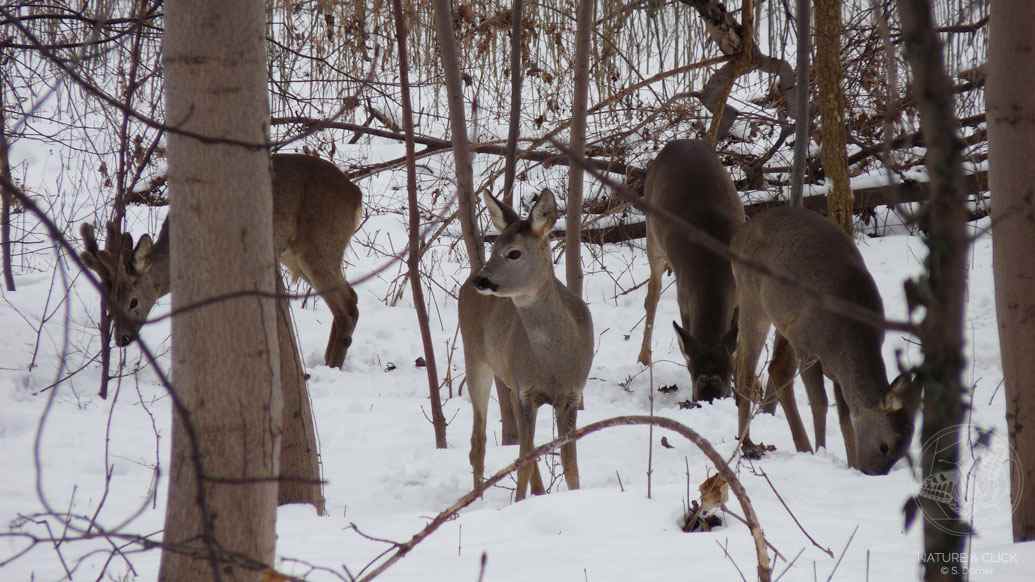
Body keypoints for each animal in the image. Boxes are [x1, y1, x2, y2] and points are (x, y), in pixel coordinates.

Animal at [80, 150, 364, 366]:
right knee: (349, 299)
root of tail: (356, 194)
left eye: (133, 301)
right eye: (107, 302)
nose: (122, 339)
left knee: (348, 305)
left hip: (319, 245)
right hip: (294, 254)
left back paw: (332, 364)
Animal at [459, 186, 596, 499]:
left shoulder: (571, 394)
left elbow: (569, 465)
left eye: (514, 253)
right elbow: (523, 460)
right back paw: (477, 498)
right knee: (478, 441)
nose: (481, 280)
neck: (553, 363)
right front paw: (518, 501)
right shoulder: (526, 392)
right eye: (494, 248)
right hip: (475, 357)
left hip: (509, 379)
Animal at [637, 137, 745, 401]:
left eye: (726, 378)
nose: (708, 399)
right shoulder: (684, 295)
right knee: (652, 293)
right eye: (694, 378)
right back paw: (644, 357)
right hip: (652, 236)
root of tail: (678, 141)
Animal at [728, 206, 923, 474]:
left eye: (901, 453)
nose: (873, 473)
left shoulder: (838, 369)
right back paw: (749, 445)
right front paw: (822, 451)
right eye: (885, 446)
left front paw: (849, 463)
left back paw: (799, 445)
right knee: (747, 369)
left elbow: (845, 418)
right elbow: (819, 403)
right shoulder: (808, 349)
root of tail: (739, 235)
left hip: (785, 321)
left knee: (776, 368)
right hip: (752, 299)